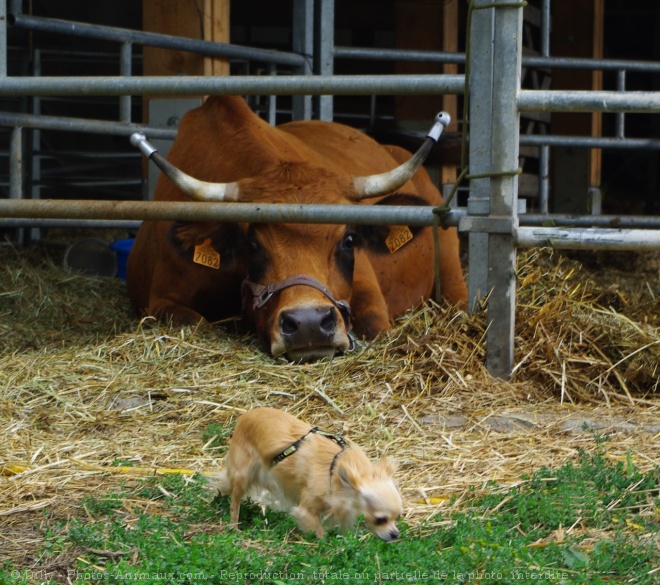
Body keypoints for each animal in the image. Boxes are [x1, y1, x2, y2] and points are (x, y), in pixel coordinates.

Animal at [217, 406, 402, 540]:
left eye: (397, 518)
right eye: (380, 519)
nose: (395, 534)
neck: (334, 470)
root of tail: (245, 416)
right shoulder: (306, 511)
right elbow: (320, 534)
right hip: (243, 475)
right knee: (234, 504)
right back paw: (235, 528)